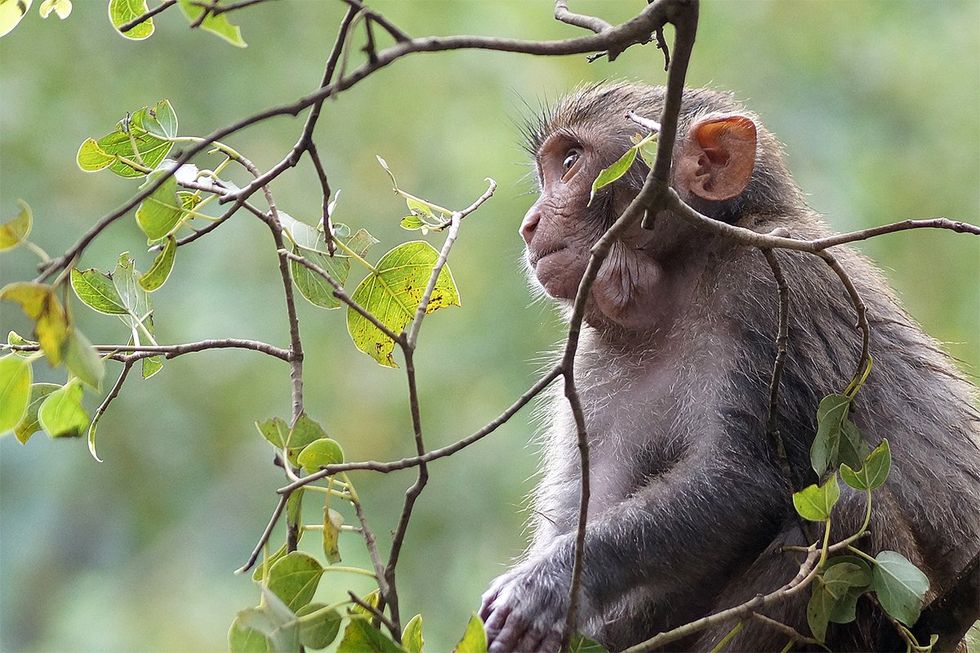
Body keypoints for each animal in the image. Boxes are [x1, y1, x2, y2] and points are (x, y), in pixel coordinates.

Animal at [480, 81, 980, 652]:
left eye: (569, 161)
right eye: (550, 168)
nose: (529, 224)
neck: (680, 284)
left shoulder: (774, 286)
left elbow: (747, 476)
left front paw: (551, 584)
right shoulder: (591, 361)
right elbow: (589, 501)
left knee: (846, 510)